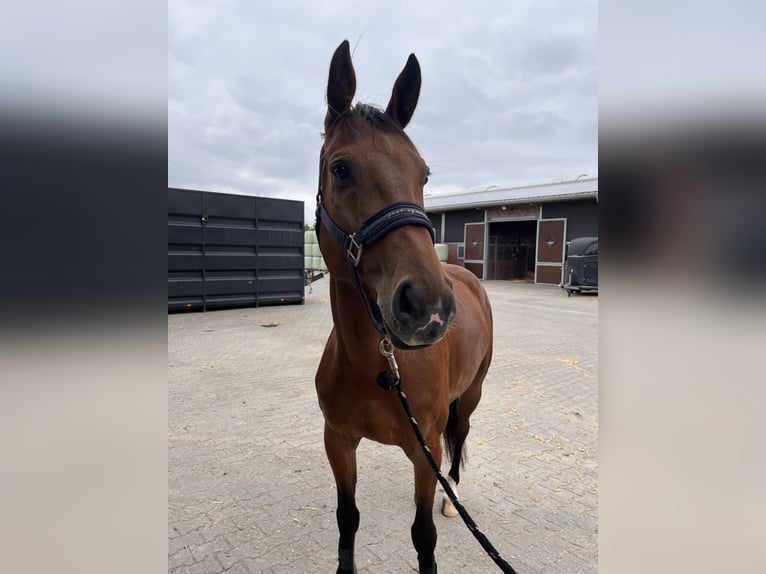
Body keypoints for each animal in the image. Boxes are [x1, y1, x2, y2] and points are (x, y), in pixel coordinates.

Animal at [314, 40, 494, 574]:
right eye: (341, 168)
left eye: (424, 174)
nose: (428, 305)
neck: (376, 365)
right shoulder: (338, 441)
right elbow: (347, 518)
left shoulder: (424, 449)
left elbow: (423, 536)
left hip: (471, 395)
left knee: (463, 434)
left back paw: (452, 495)